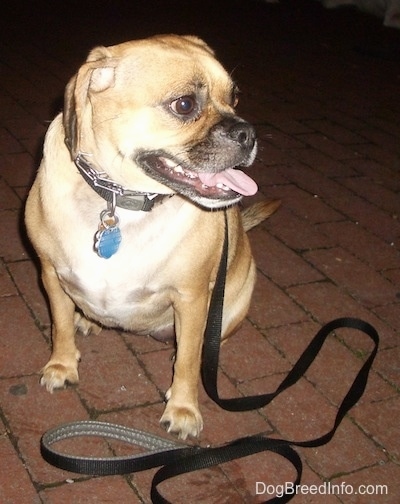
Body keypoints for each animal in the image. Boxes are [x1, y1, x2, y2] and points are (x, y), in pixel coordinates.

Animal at [25, 34, 278, 438]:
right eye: (185, 104)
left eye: (234, 97)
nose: (248, 134)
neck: (120, 199)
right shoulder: (50, 274)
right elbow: (60, 326)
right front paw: (62, 366)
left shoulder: (191, 298)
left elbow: (188, 362)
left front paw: (184, 409)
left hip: (231, 302)